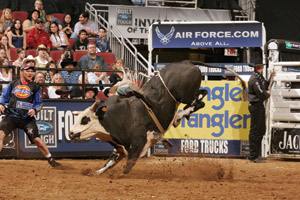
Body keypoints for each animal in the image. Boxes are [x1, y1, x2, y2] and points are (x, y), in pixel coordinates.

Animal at [69, 60, 246, 175]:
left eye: (85, 119)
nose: (70, 133)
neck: (119, 116)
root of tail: (187, 62)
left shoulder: (138, 142)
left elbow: (129, 164)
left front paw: (120, 176)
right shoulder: (121, 147)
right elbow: (110, 162)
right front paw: (95, 172)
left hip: (185, 94)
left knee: (200, 100)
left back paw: (180, 116)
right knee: (202, 94)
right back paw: (180, 116)